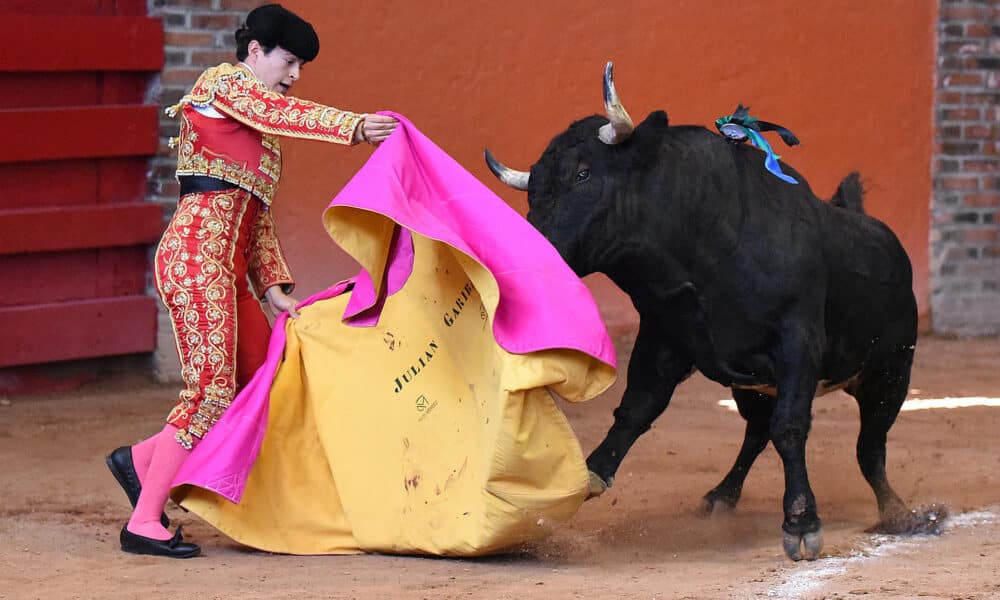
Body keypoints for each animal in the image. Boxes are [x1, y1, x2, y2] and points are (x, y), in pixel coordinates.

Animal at [488, 64, 940, 556]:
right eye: (534, 189)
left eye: (583, 174)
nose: (520, 251)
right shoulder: (663, 336)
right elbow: (636, 409)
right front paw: (591, 474)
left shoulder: (798, 343)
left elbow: (791, 427)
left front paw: (802, 523)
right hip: (756, 386)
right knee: (757, 433)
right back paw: (721, 496)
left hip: (891, 373)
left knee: (869, 448)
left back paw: (902, 514)